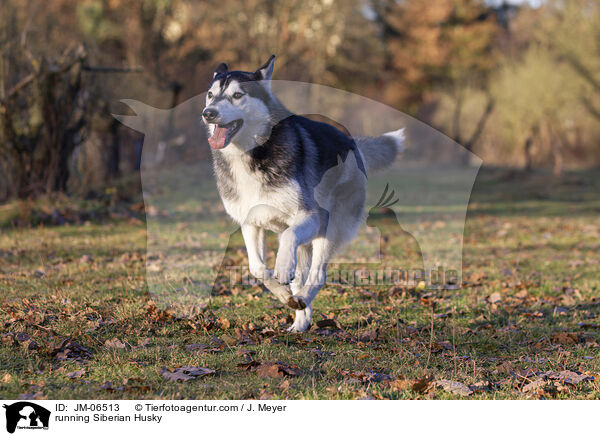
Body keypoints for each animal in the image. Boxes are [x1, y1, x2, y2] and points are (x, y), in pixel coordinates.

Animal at [202, 56, 404, 332]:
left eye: (237, 95)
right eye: (210, 95)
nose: (208, 113)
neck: (251, 154)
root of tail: (353, 143)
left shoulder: (308, 217)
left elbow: (288, 240)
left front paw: (282, 269)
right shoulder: (250, 223)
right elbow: (257, 268)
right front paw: (281, 293)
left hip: (328, 230)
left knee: (318, 274)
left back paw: (303, 297)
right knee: (300, 276)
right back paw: (299, 318)